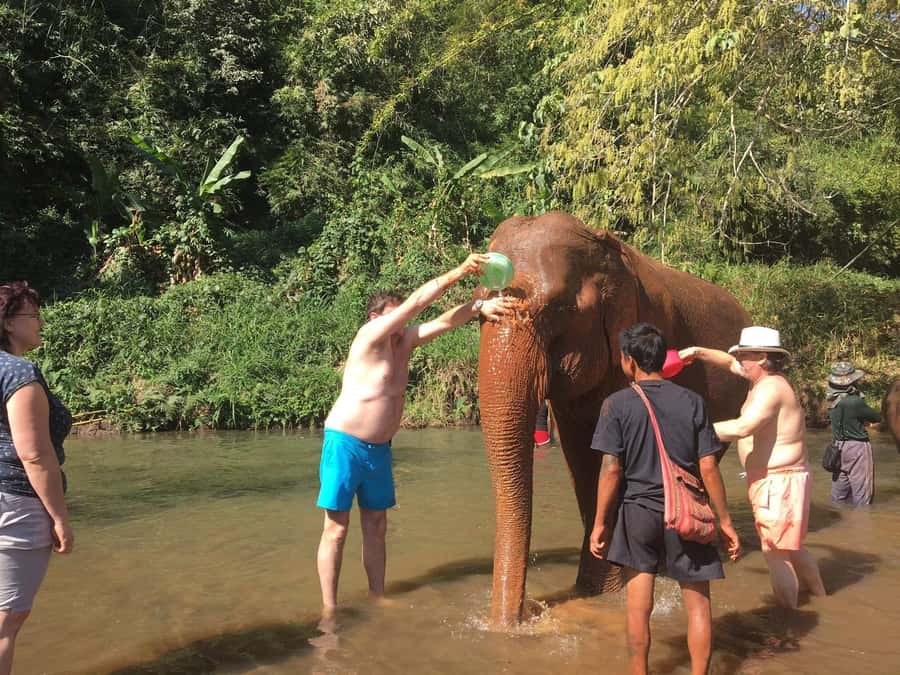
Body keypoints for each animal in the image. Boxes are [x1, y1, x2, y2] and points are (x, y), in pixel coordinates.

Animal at [477, 211, 751, 626]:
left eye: (558, 309)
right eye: (476, 310)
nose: (520, 619)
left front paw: (607, 589)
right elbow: (583, 456)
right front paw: (596, 590)